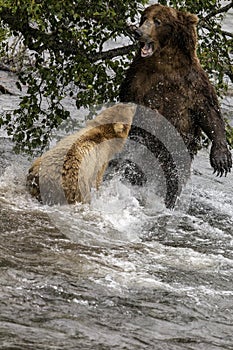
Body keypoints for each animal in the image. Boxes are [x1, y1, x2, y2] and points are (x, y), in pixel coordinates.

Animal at [120, 3, 231, 178]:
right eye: (144, 18)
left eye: (157, 21)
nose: (138, 32)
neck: (164, 62)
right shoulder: (137, 79)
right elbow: (130, 102)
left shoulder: (193, 82)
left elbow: (209, 110)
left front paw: (221, 160)